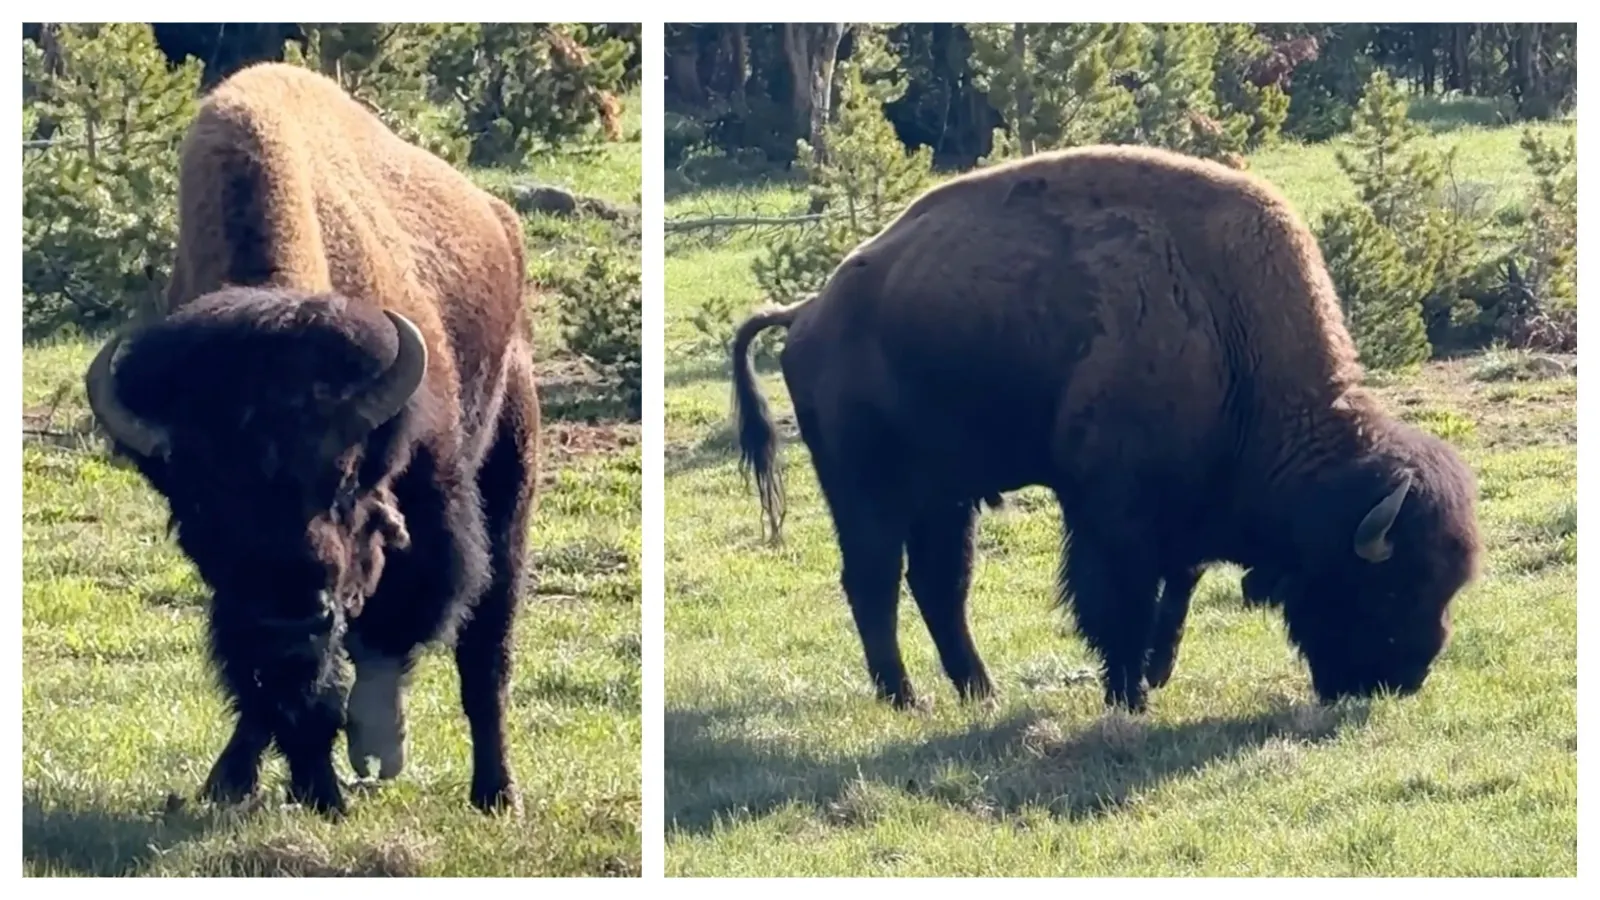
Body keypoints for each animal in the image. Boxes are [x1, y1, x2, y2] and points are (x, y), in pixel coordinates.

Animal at [83, 62, 539, 817]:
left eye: (345, 482)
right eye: (197, 509)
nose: (289, 619)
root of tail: (498, 218)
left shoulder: (429, 506)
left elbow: (398, 629)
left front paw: (367, 751)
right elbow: (276, 691)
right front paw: (299, 786)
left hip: (511, 459)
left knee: (486, 645)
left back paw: (497, 793)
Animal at [729, 144, 1481, 713]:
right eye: (1391, 586)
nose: (1405, 678)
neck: (1227, 329)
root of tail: (809, 311)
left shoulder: (1182, 515)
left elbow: (1176, 591)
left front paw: (1154, 673)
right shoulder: (1112, 514)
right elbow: (1119, 600)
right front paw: (1129, 695)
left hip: (943, 494)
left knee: (940, 583)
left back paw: (981, 692)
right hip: (867, 490)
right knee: (874, 580)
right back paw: (905, 699)